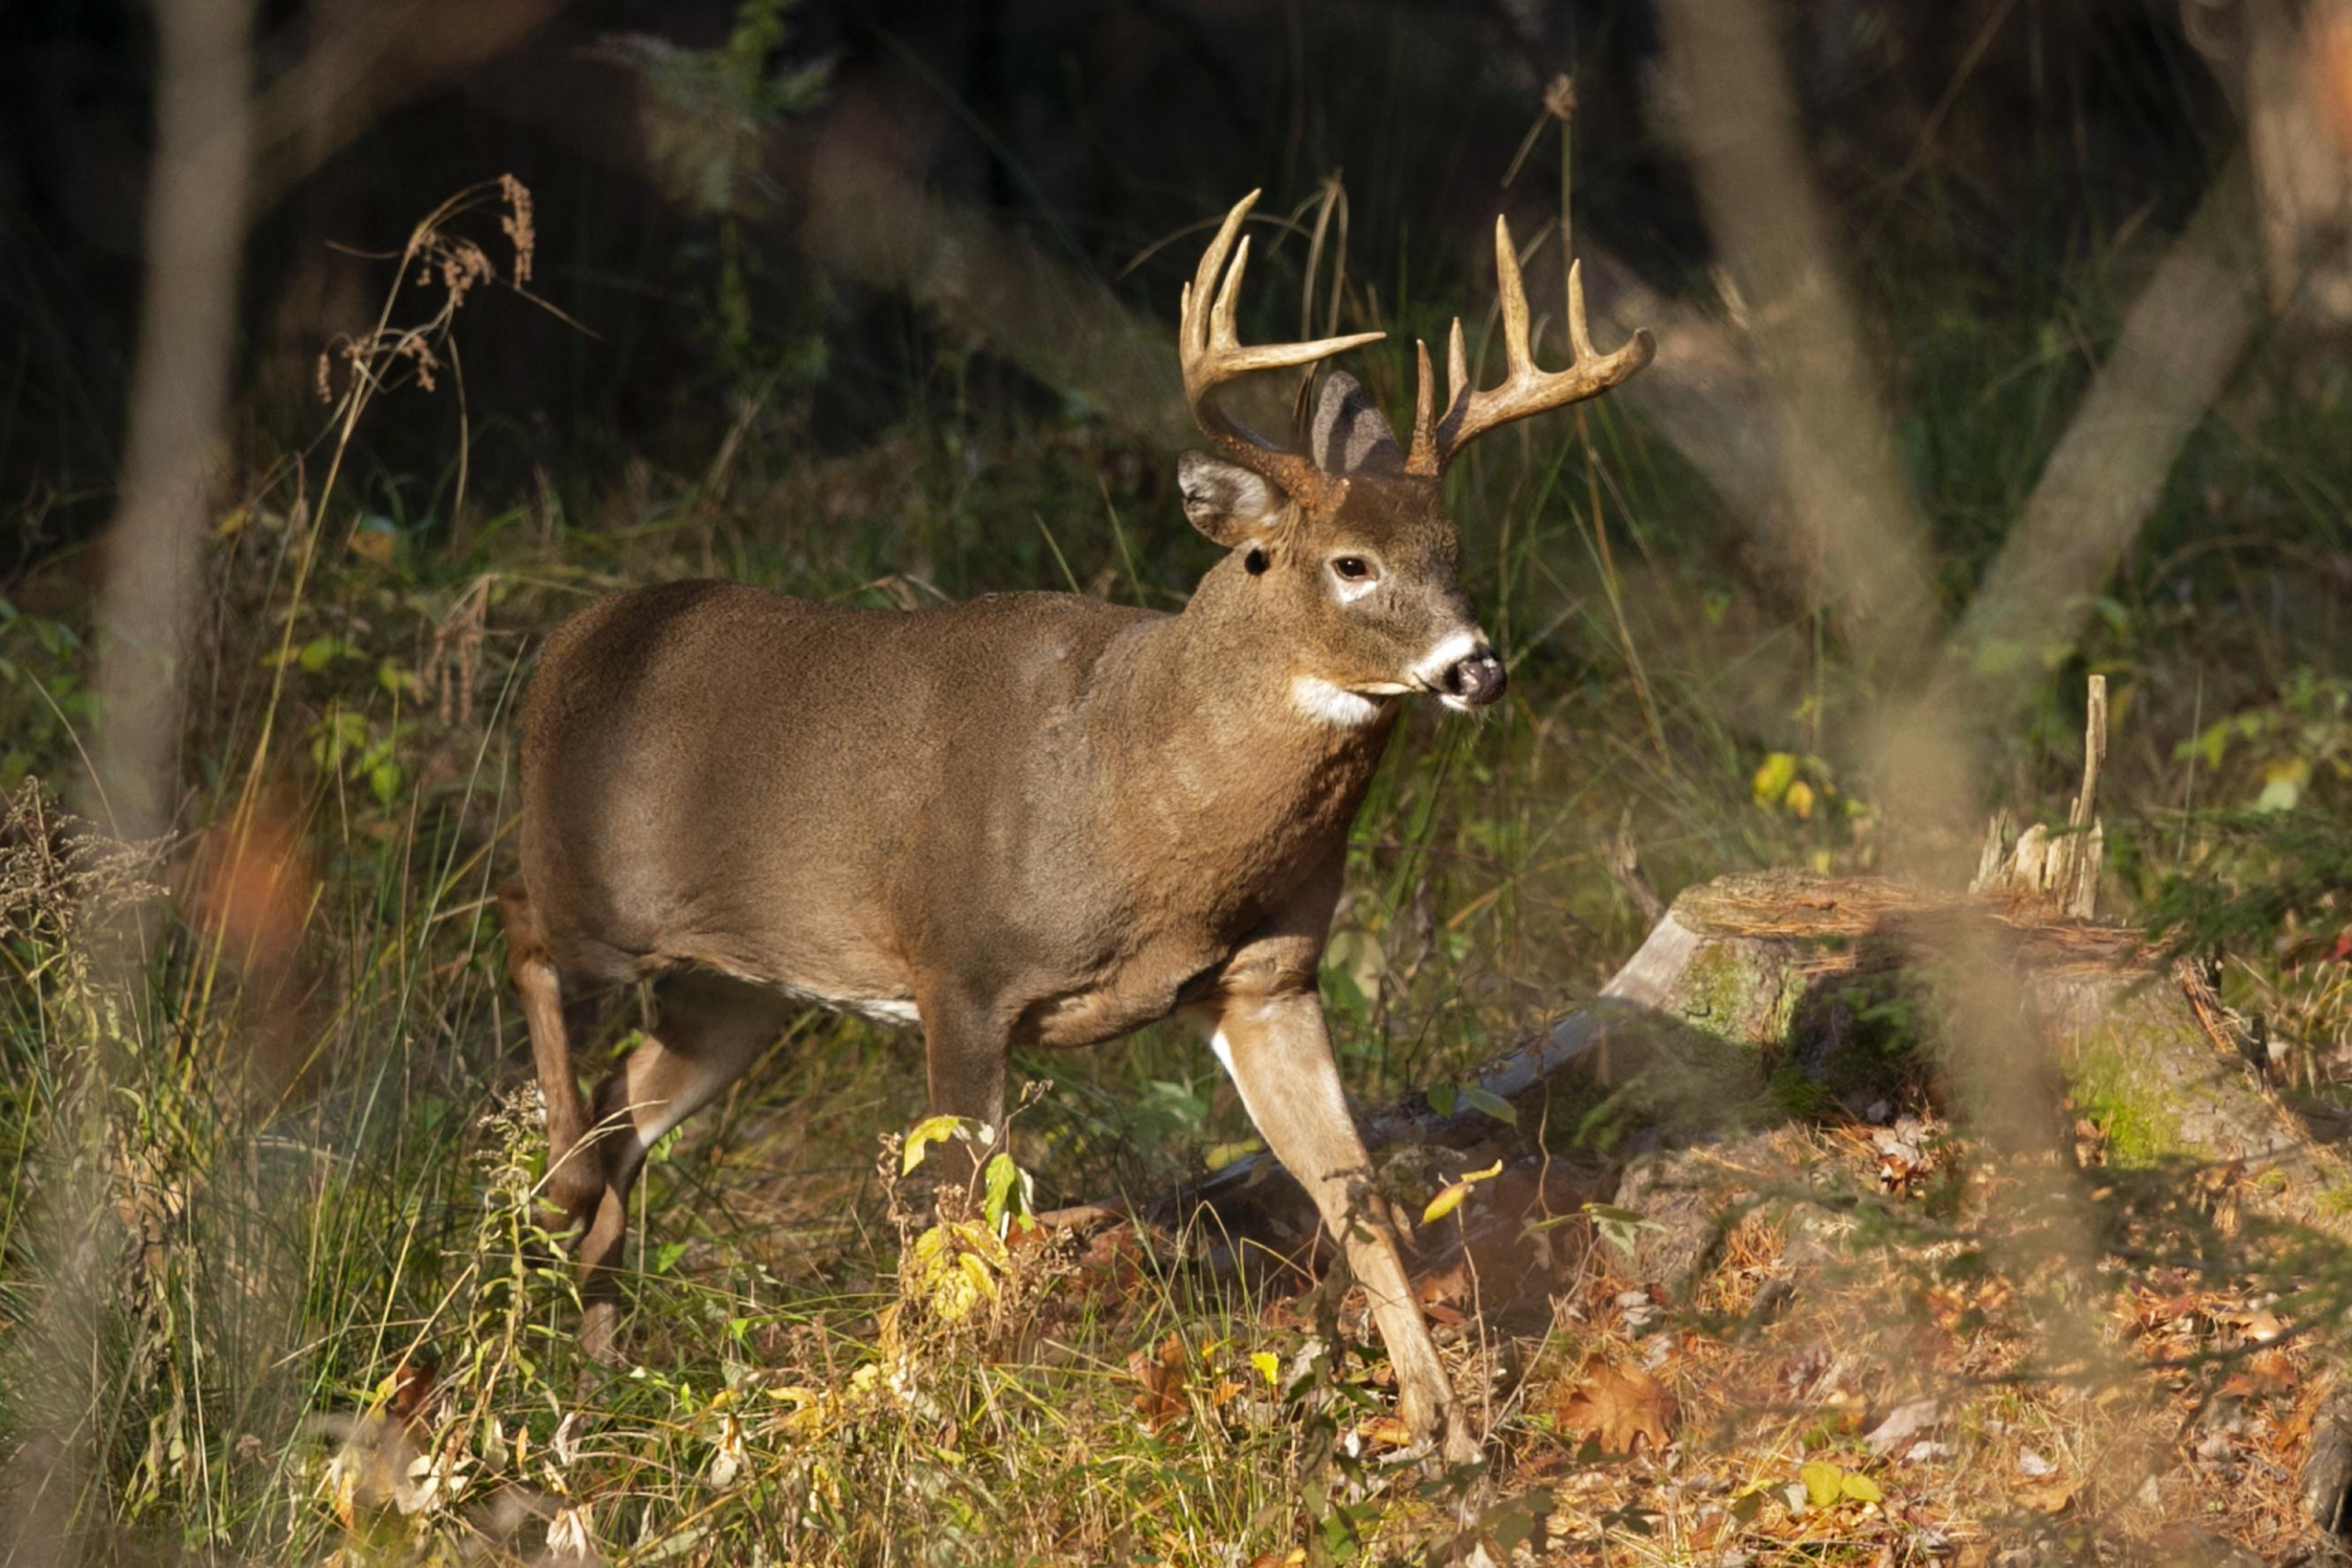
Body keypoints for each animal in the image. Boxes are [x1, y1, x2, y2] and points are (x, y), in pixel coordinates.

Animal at [503, 192, 1646, 1457]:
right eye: (1350, 563)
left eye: (1451, 556)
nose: (1477, 666)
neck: (1137, 803)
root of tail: (565, 644)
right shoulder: (959, 968)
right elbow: (963, 1232)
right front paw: (948, 1421)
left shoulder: (1266, 979)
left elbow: (1356, 1198)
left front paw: (1444, 1434)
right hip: (594, 887)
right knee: (526, 944)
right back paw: (556, 1209)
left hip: (740, 986)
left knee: (625, 1109)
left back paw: (594, 1363)